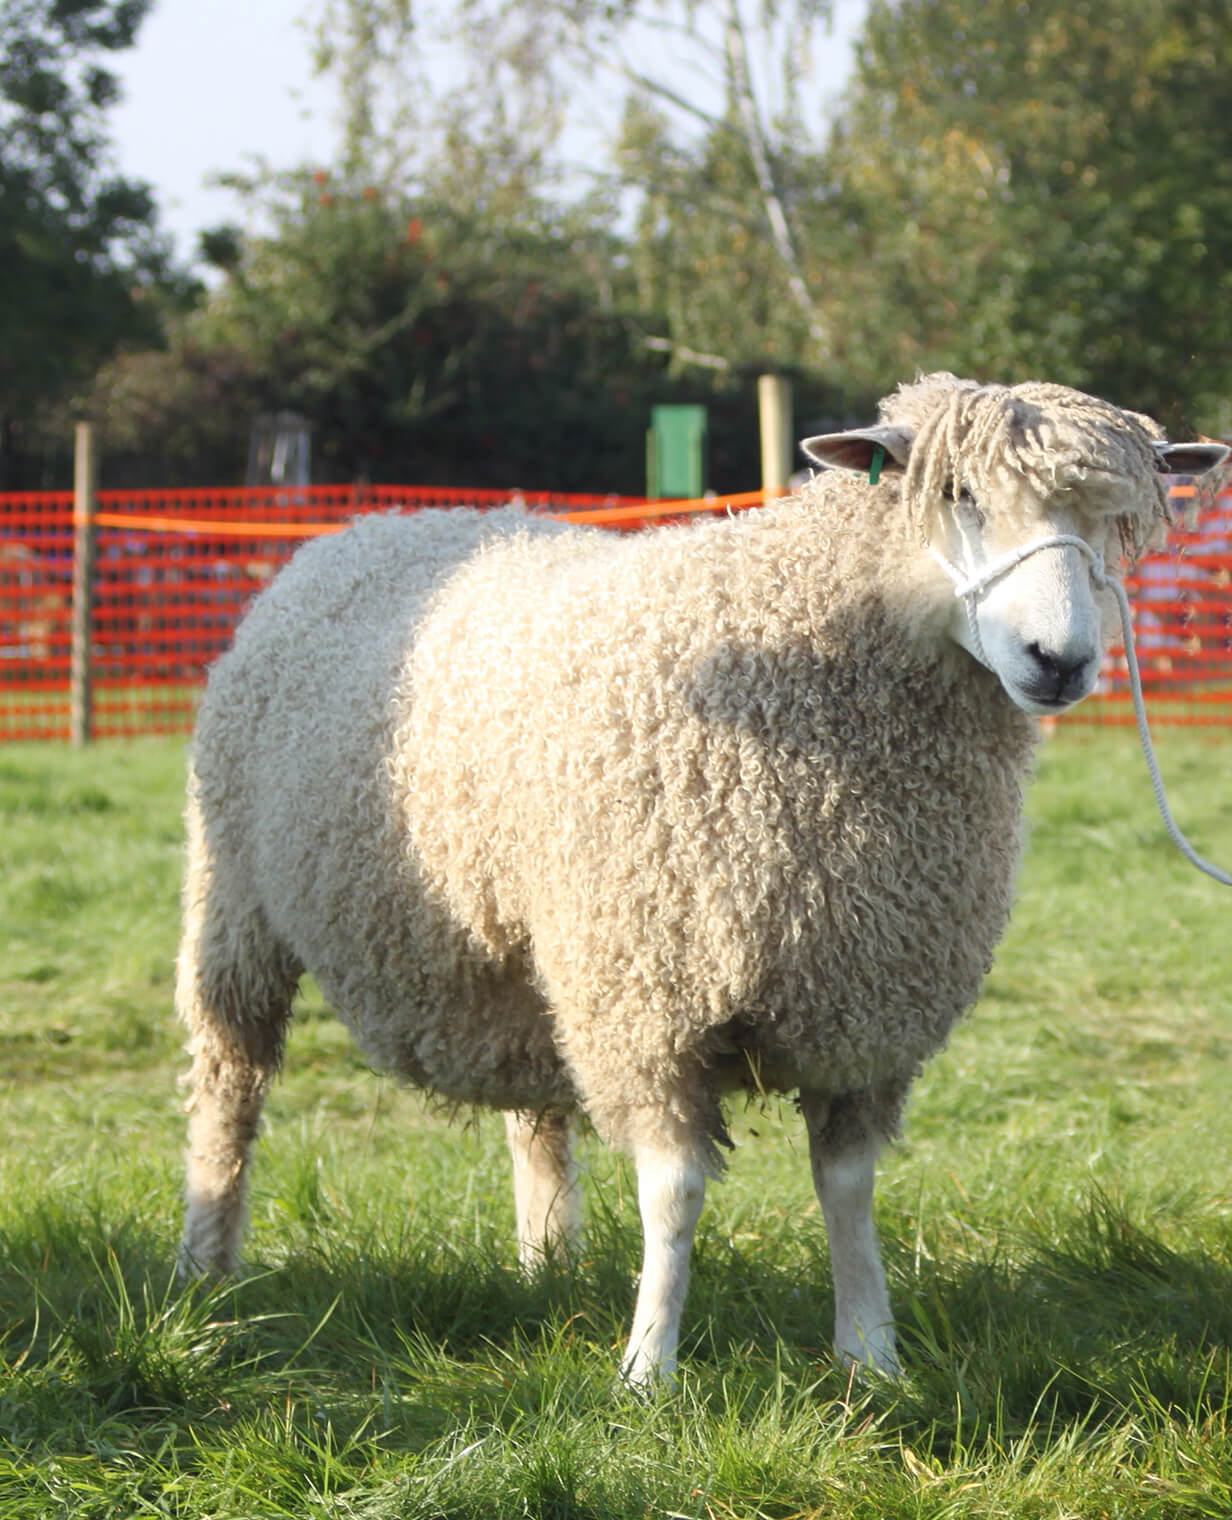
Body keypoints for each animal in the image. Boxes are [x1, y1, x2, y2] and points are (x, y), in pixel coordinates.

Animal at [178, 373, 1227, 1386]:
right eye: (956, 493)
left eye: (1111, 519)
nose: (1062, 661)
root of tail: (376, 526)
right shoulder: (653, 996)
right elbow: (674, 1193)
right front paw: (650, 1369)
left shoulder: (864, 1001)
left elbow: (848, 1188)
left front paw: (871, 1357)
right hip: (237, 904)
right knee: (230, 1084)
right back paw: (206, 1272)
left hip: (534, 945)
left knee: (533, 1110)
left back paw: (545, 1263)